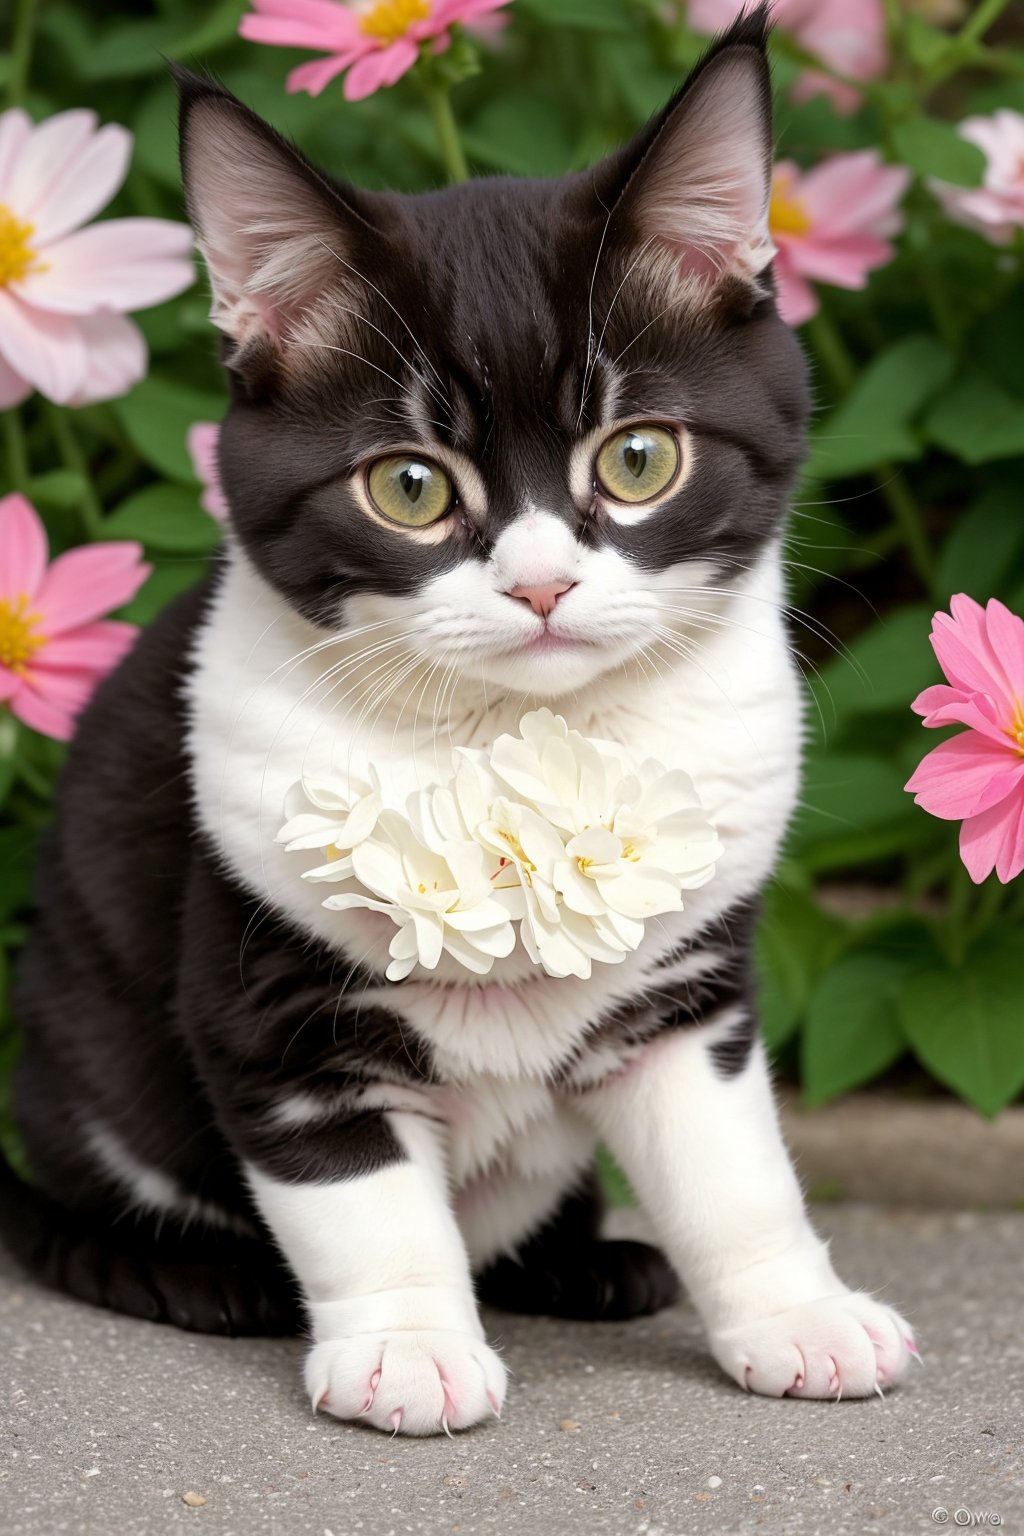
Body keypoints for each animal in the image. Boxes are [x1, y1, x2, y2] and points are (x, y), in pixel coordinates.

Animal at [0, 6, 914, 1431]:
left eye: (639, 457)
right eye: (410, 487)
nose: (540, 584)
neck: (500, 734)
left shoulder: (685, 993)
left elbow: (733, 1168)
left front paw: (796, 1317)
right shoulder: (270, 1003)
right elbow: (359, 1197)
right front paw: (406, 1349)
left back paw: (591, 1265)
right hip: (81, 1040)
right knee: (79, 1192)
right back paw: (184, 1273)